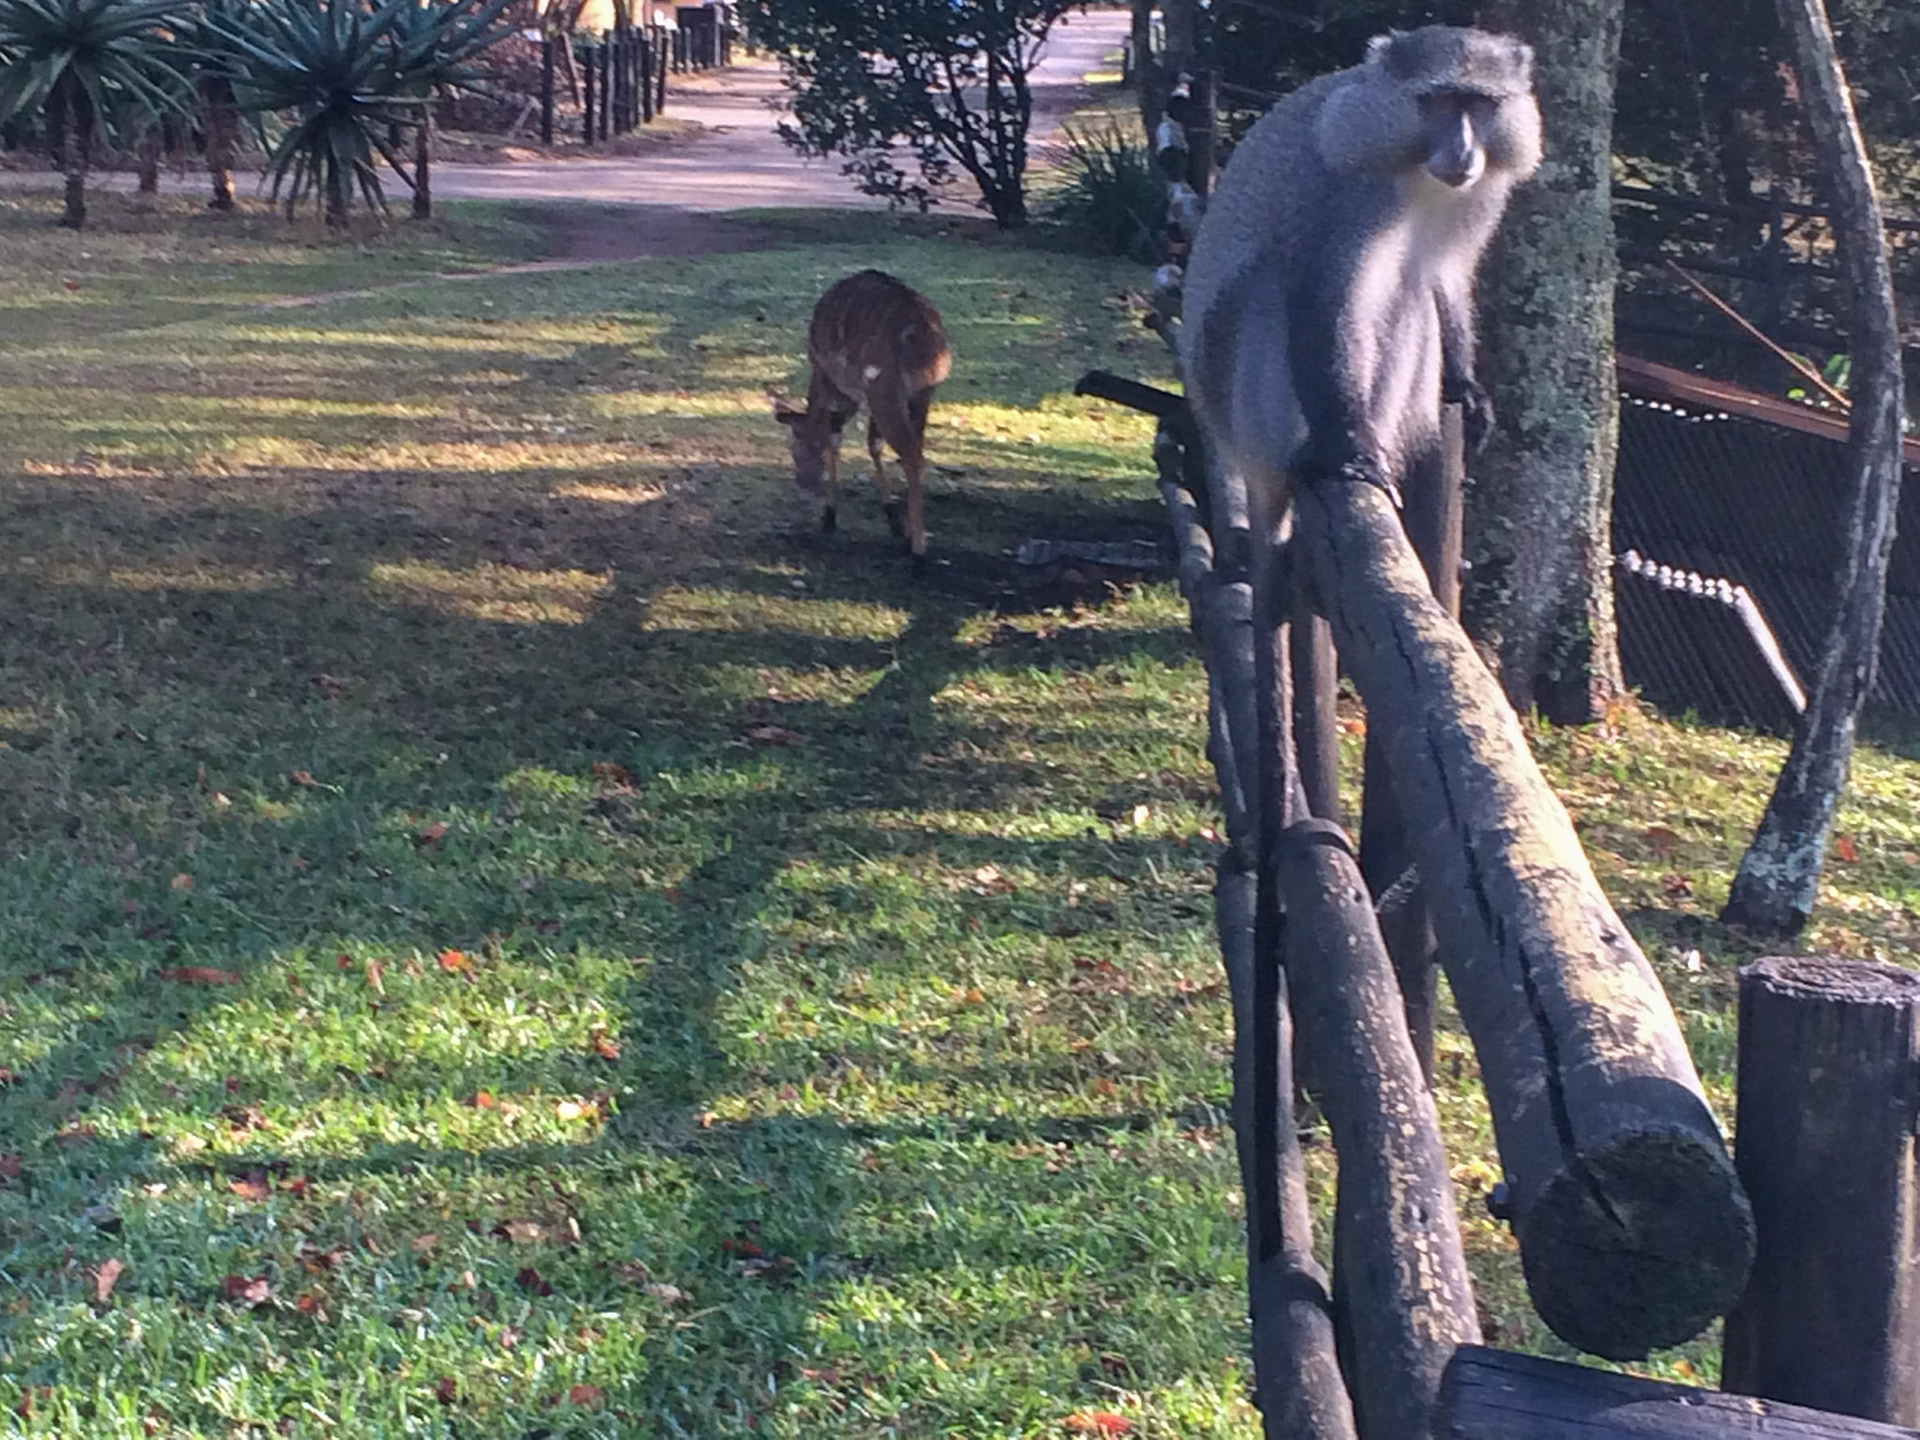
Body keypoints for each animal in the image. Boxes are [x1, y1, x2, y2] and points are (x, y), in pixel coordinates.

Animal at [1179, 25, 1541, 550]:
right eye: (1439, 103)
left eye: (1478, 104)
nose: (1463, 151)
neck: (1414, 176)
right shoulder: (1349, 192)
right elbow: (1323, 297)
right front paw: (1351, 448)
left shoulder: (1479, 197)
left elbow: (1443, 276)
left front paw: (1465, 385)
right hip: (1240, 403)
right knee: (1269, 285)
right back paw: (1310, 455)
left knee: (1412, 295)